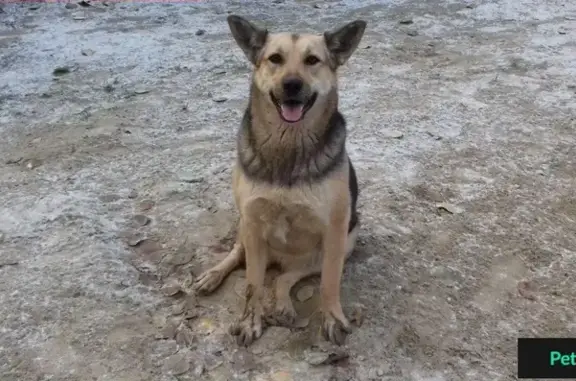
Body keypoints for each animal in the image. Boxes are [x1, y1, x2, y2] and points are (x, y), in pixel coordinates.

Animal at [192, 14, 364, 348]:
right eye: (275, 59)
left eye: (312, 60)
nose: (292, 84)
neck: (289, 147)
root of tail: (279, 260)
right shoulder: (253, 221)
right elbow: (252, 285)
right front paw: (250, 321)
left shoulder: (336, 230)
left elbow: (329, 283)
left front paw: (332, 318)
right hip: (246, 230)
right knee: (239, 256)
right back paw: (214, 274)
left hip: (344, 242)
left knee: (286, 277)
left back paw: (284, 305)